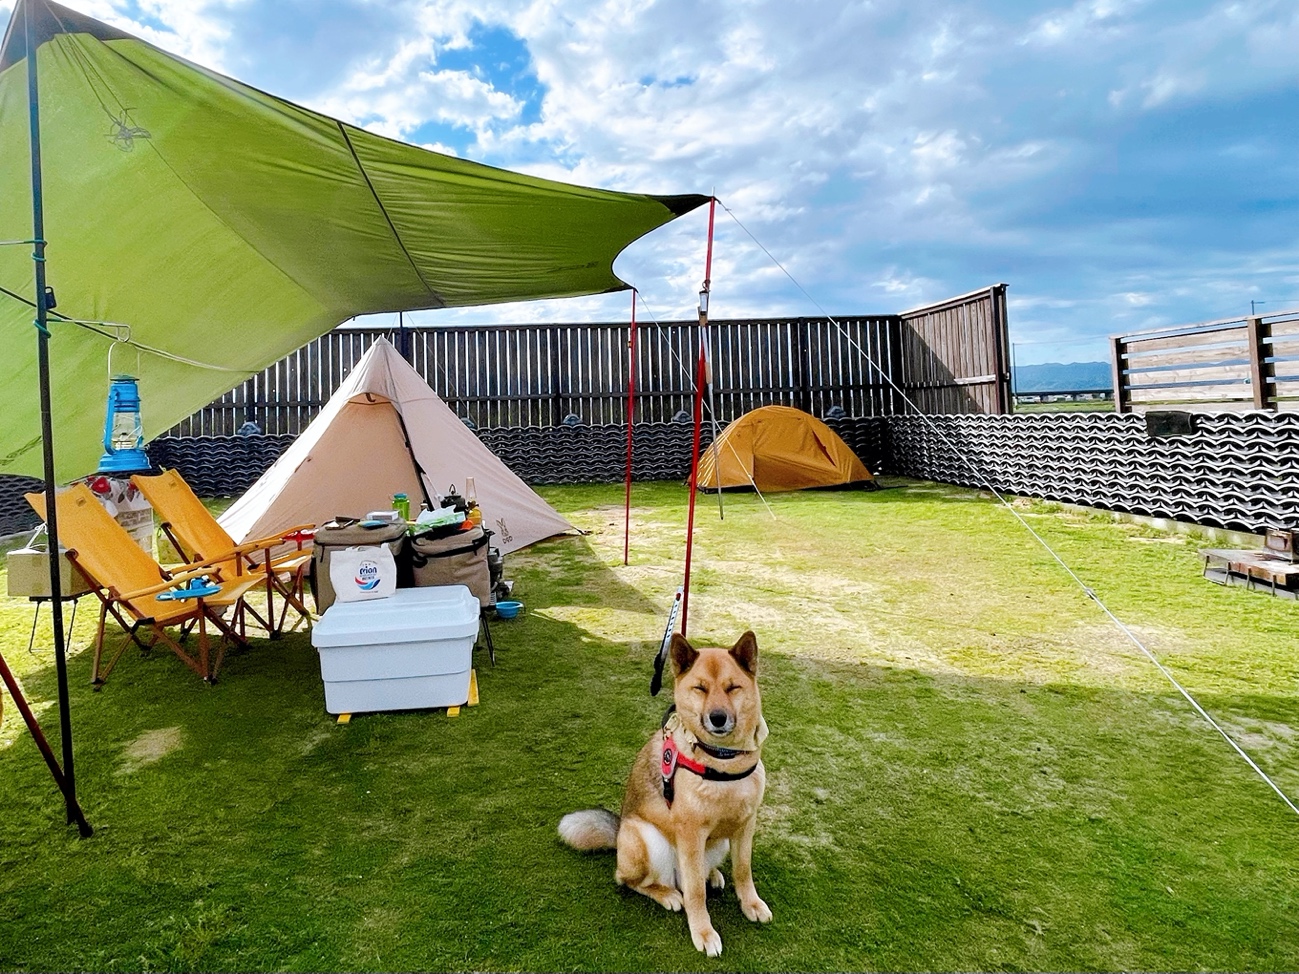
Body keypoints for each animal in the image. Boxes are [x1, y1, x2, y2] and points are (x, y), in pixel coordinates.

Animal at [561, 628, 769, 955]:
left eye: (733, 687)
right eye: (700, 688)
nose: (718, 718)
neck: (722, 762)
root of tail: (618, 834)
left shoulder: (745, 827)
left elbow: (743, 870)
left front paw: (751, 904)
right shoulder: (691, 834)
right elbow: (695, 892)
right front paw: (703, 932)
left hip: (719, 843)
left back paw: (712, 874)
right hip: (649, 839)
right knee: (633, 881)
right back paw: (668, 894)